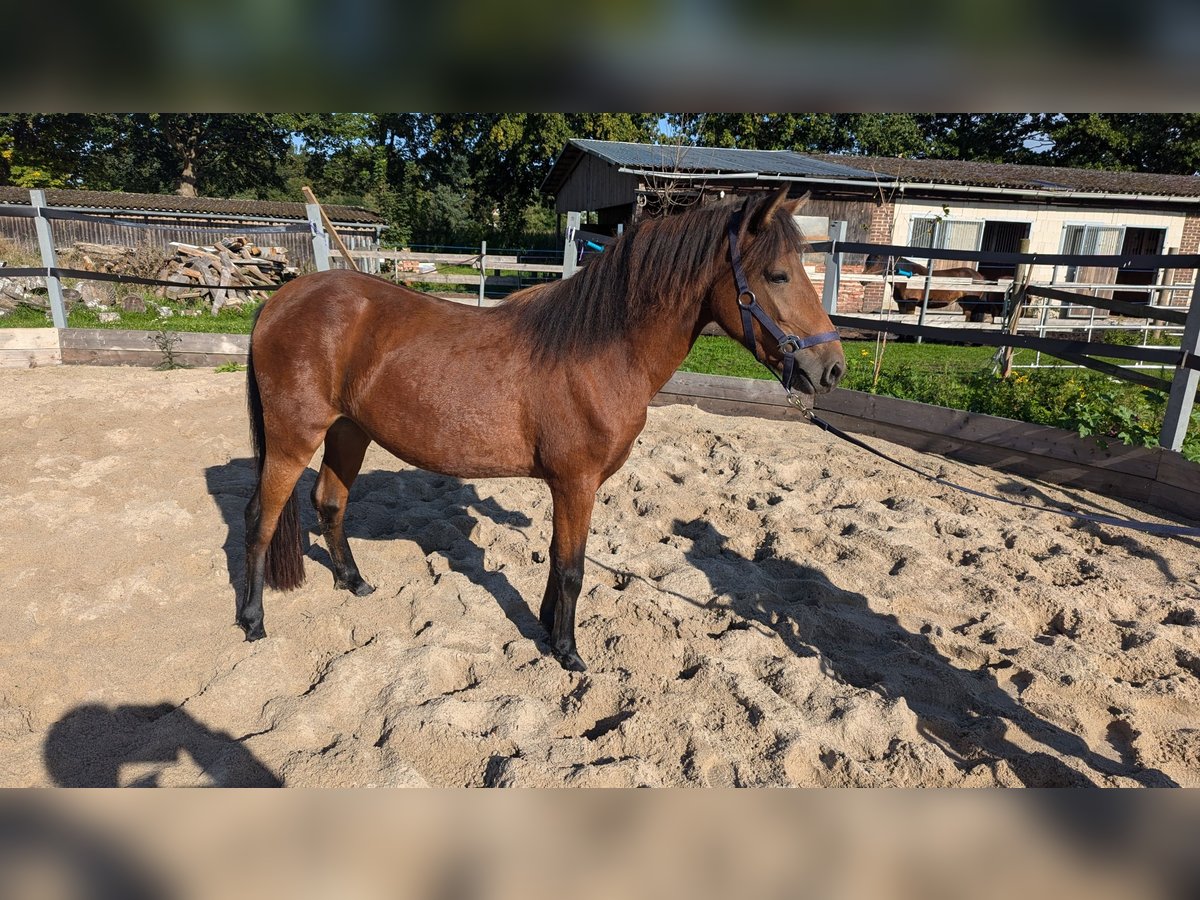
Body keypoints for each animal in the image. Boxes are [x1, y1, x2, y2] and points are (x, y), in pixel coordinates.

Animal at [238, 187, 844, 672]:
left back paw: (354, 581)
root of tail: (280, 300)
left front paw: (547, 629)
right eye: (777, 275)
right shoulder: (576, 482)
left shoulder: (569, 486)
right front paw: (570, 652)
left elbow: (558, 558)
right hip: (294, 437)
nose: (832, 369)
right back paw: (253, 619)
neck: (599, 351)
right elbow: (572, 567)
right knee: (261, 518)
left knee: (330, 502)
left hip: (348, 431)